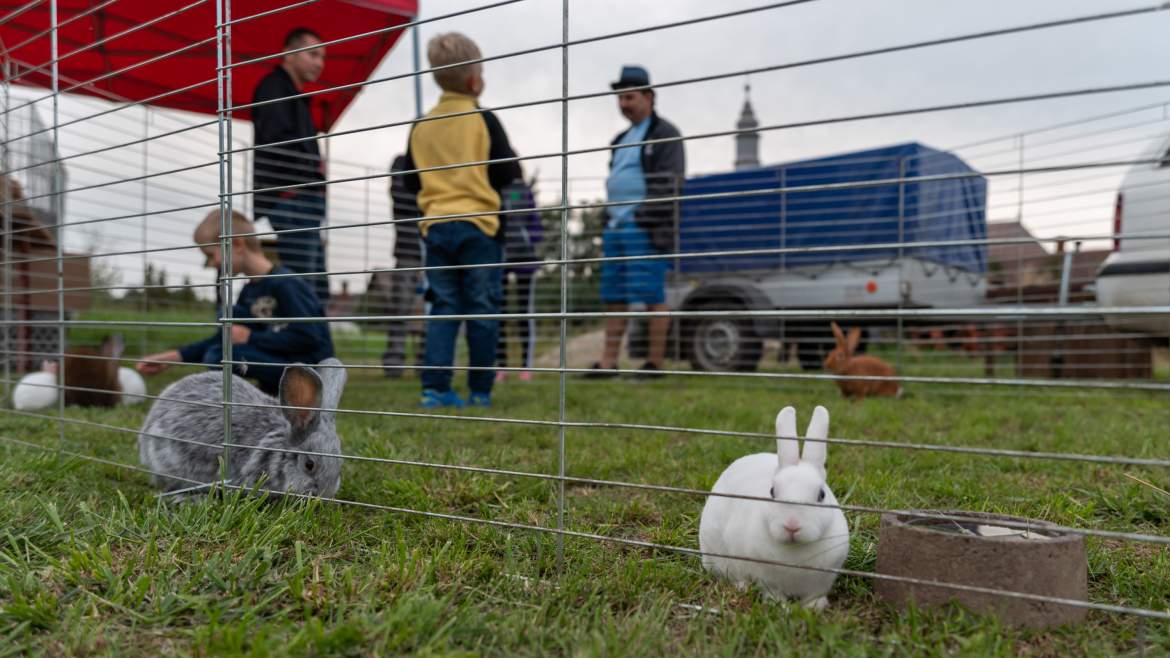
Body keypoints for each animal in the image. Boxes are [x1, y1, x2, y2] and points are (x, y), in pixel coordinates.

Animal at [692, 405, 851, 608]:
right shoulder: (766, 580)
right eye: (772, 492)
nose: (792, 525)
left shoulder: (822, 581)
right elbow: (773, 593)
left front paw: (814, 608)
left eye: (821, 495)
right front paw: (780, 607)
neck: (794, 553)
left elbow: (813, 596)